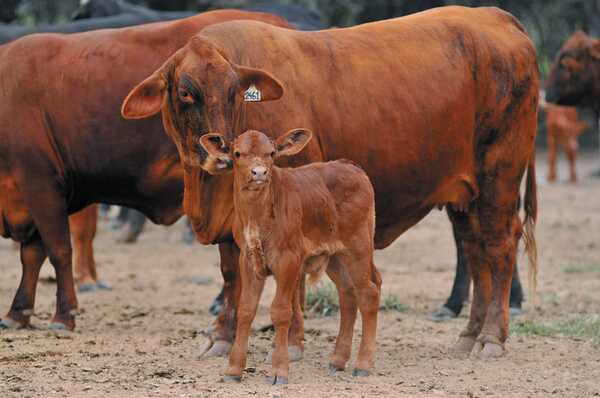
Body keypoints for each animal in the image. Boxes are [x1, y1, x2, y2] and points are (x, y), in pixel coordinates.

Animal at [0, 10, 290, 332]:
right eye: (185, 93)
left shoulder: (42, 183)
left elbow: (58, 249)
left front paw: (63, 315)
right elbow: (32, 254)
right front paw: (18, 312)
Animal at [122, 4, 540, 358]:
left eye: (233, 93)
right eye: (185, 92)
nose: (222, 154)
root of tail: (494, 16)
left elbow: (288, 281)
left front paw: (290, 342)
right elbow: (231, 272)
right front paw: (222, 337)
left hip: (499, 175)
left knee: (498, 245)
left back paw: (490, 338)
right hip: (466, 194)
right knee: (474, 249)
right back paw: (469, 335)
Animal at [199, 129, 382, 384]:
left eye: (271, 153)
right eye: (237, 153)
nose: (259, 172)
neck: (258, 215)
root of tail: (351, 167)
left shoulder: (288, 260)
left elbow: (281, 311)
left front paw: (279, 371)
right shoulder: (248, 260)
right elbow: (246, 309)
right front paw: (233, 370)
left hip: (359, 247)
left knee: (368, 293)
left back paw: (363, 363)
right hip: (335, 256)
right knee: (347, 295)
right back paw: (337, 360)